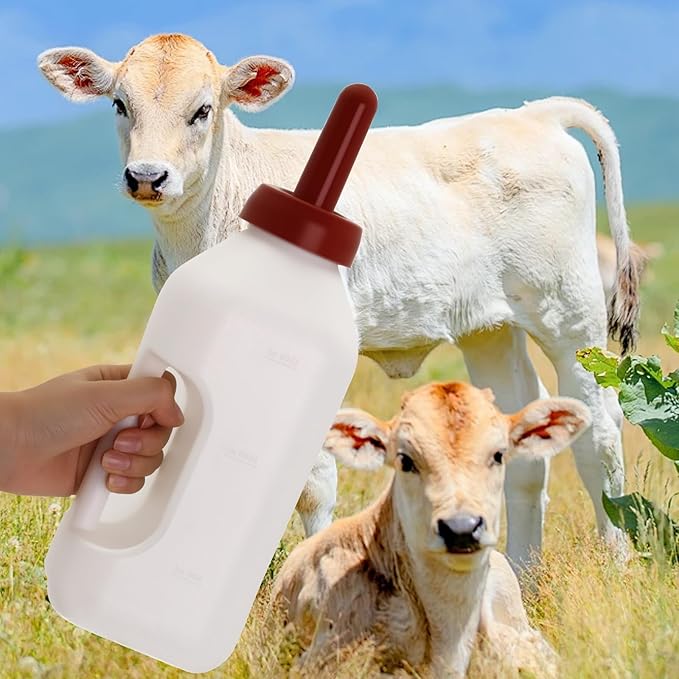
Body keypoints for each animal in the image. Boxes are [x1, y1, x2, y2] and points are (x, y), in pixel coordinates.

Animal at [38, 33, 637, 572]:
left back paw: (616, 561)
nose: (147, 176)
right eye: (120, 104)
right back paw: (521, 574)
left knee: (600, 434)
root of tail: (535, 115)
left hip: (570, 319)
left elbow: (312, 482)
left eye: (202, 110)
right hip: (490, 328)